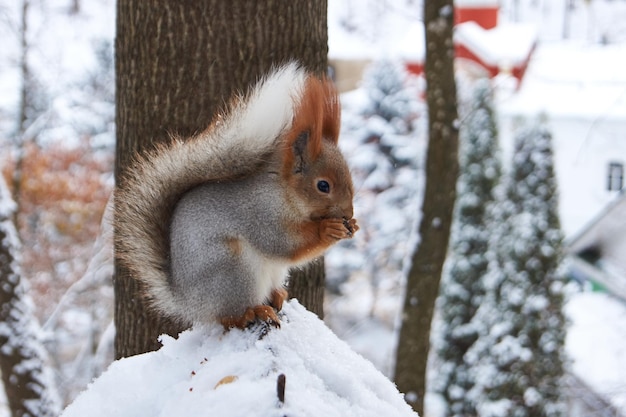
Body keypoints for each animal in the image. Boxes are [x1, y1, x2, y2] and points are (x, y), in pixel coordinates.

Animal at [112, 63, 356, 328]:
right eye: (323, 185)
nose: (349, 212)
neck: (284, 193)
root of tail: (187, 303)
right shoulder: (260, 213)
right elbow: (281, 243)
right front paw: (328, 229)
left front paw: (352, 225)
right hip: (232, 270)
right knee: (228, 317)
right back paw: (253, 312)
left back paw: (276, 295)